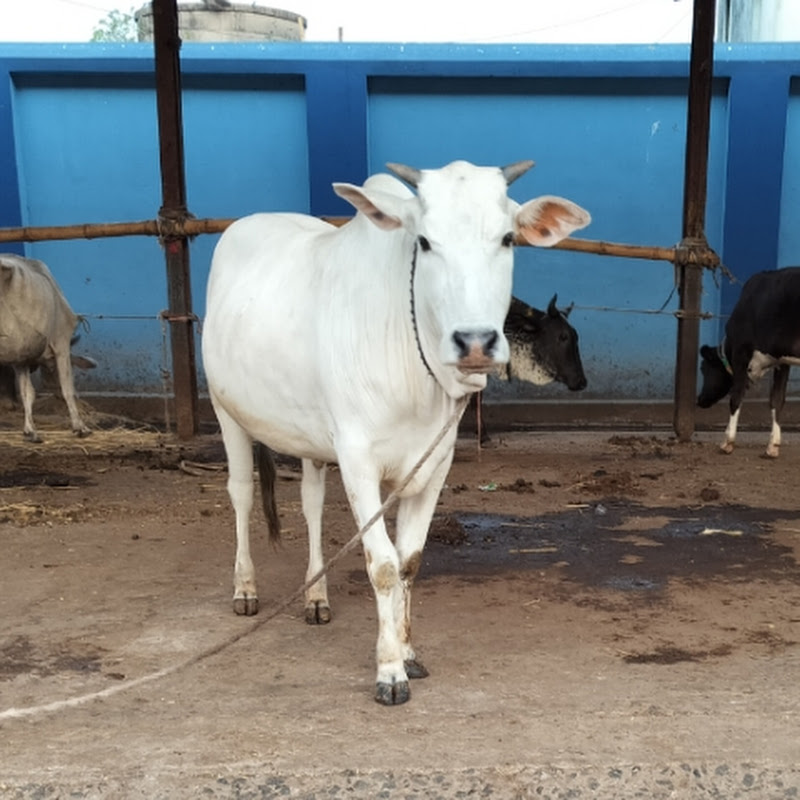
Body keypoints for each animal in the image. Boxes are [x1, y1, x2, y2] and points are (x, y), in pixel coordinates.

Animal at [0, 254, 94, 442]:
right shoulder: (61, 341)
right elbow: (67, 388)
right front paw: (80, 427)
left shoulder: (21, 356)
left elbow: (27, 392)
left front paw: (30, 431)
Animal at [202, 159, 591, 705]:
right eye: (424, 241)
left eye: (508, 238)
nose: (475, 342)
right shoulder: (358, 459)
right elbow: (382, 564)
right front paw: (388, 670)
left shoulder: (434, 462)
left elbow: (409, 560)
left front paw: (407, 652)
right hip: (227, 411)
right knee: (239, 492)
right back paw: (245, 588)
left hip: (312, 441)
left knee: (311, 503)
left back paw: (316, 596)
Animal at [697, 266, 800, 458]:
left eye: (703, 369)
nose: (700, 400)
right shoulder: (781, 360)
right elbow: (777, 399)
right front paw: (773, 446)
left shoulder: (741, 352)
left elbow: (736, 397)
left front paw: (727, 442)